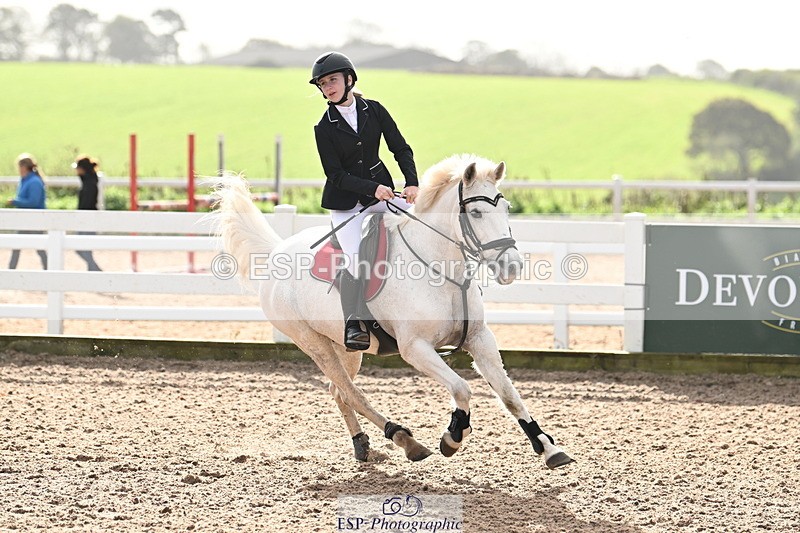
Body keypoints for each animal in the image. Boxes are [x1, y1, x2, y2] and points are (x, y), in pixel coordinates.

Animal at [210, 154, 574, 469]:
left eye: (507, 209)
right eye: (477, 214)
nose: (511, 267)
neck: (442, 270)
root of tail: (276, 251)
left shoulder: (480, 339)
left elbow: (510, 395)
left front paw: (548, 448)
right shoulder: (415, 348)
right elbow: (461, 388)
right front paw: (453, 436)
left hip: (346, 348)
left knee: (338, 391)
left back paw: (362, 445)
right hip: (312, 343)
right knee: (353, 394)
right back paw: (405, 440)